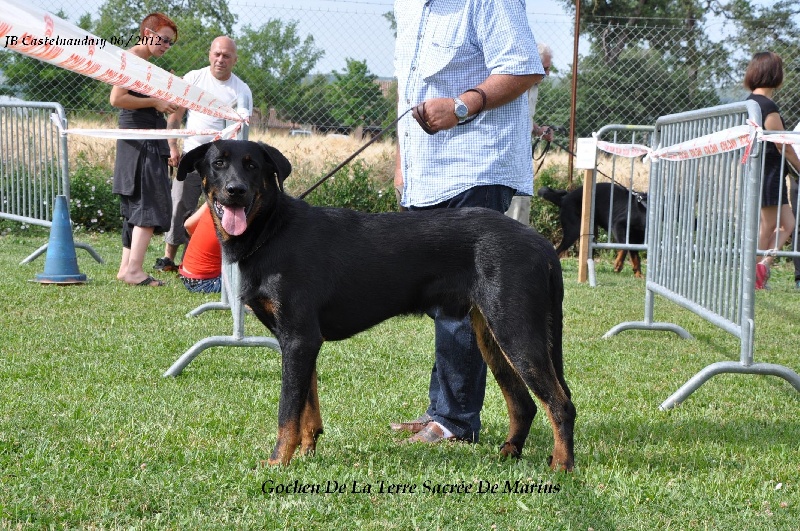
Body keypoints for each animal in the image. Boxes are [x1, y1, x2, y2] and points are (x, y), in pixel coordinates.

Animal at [175, 139, 576, 472]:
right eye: (218, 163)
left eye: (253, 166)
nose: (235, 191)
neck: (271, 231)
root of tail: (541, 245)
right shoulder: (302, 342)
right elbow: (308, 408)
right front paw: (306, 452)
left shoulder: (298, 339)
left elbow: (287, 412)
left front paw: (277, 462)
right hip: (491, 335)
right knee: (523, 403)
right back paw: (510, 453)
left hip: (515, 330)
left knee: (560, 403)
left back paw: (562, 466)